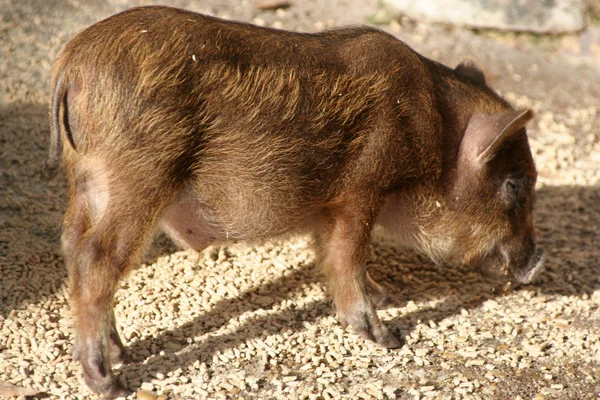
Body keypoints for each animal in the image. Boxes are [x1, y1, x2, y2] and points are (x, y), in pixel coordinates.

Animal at [48, 5, 544, 396]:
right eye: (515, 184)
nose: (538, 260)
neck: (435, 135)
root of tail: (72, 64)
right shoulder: (359, 193)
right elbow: (348, 257)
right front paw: (390, 338)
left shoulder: (331, 210)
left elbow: (333, 256)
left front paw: (387, 296)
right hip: (138, 178)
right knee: (97, 258)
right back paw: (110, 382)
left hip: (88, 183)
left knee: (71, 245)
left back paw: (121, 354)